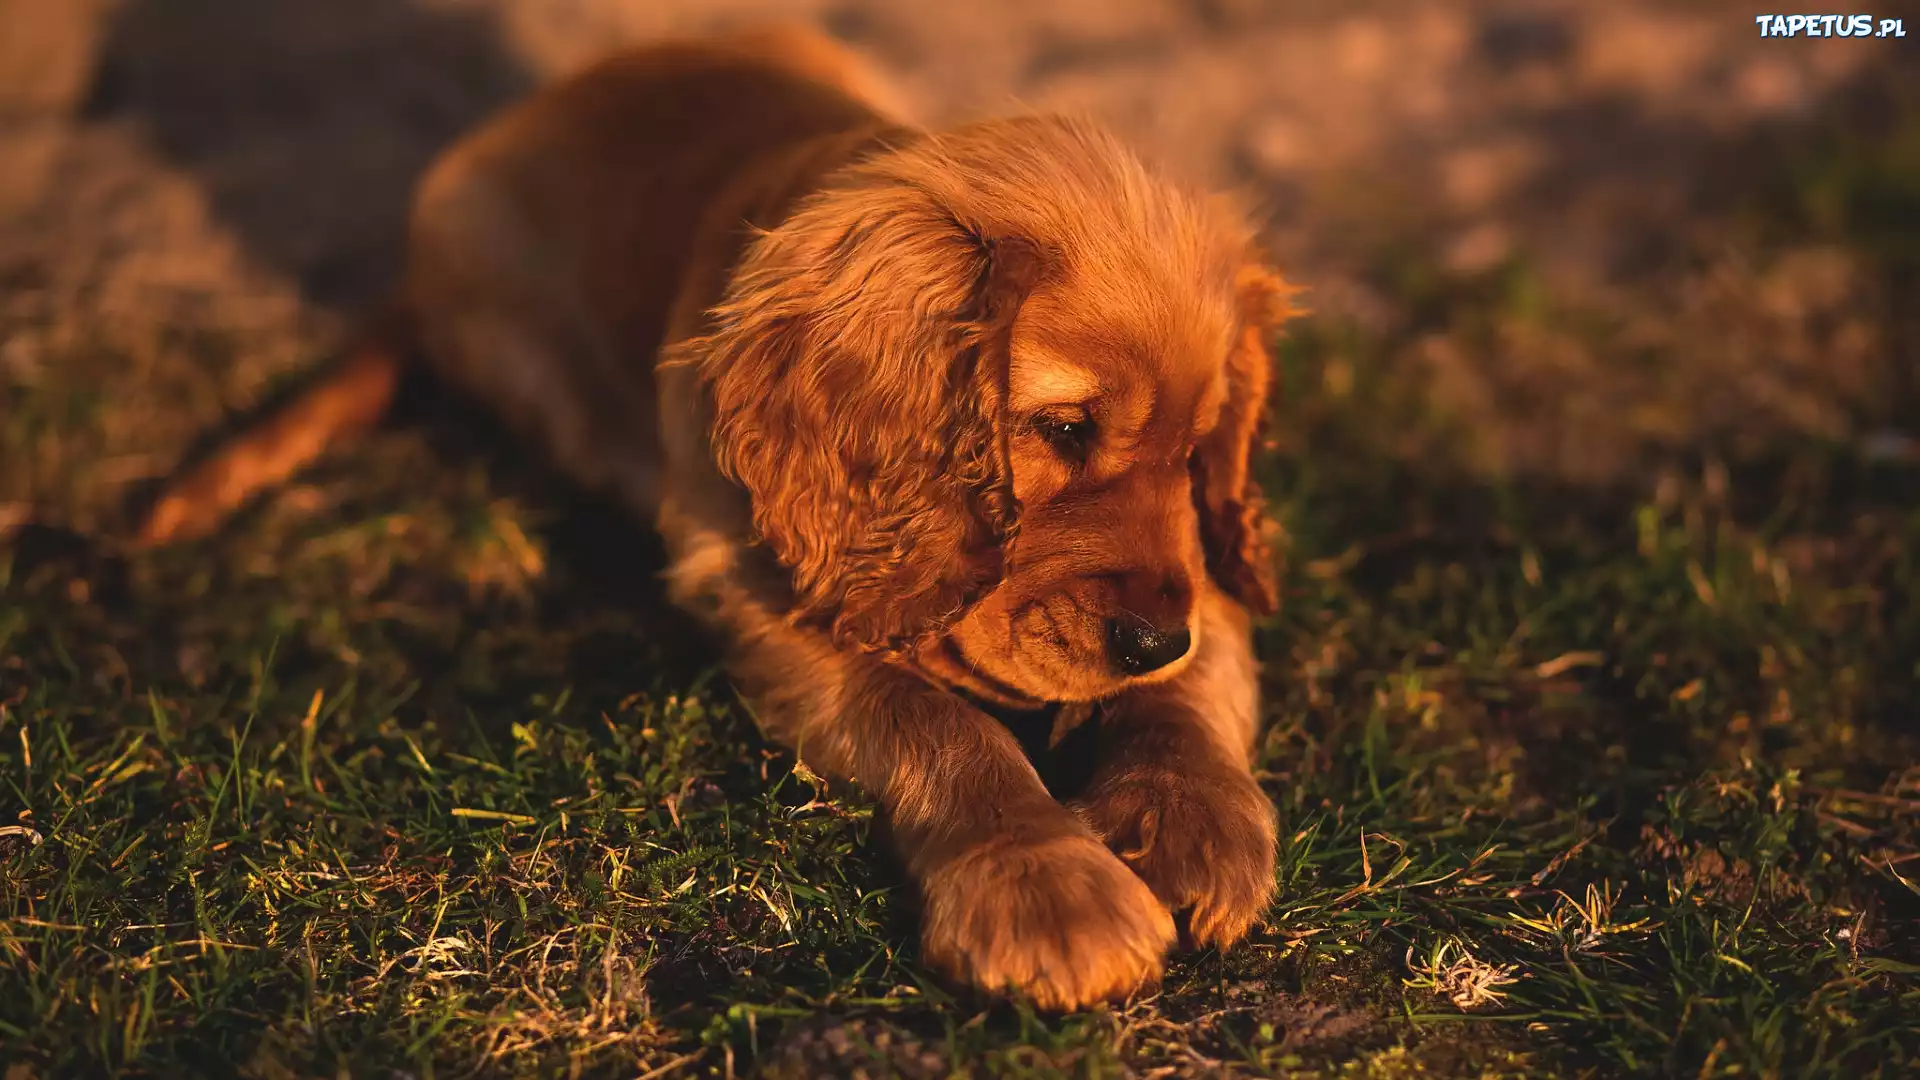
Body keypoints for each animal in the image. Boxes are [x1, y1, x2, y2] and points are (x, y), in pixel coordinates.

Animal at [142, 25, 1297, 1006]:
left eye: (1199, 451)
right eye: (1061, 429)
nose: (1147, 638)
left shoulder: (1201, 573)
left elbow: (1196, 673)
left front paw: (1190, 818)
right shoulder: (756, 588)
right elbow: (934, 718)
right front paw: (1045, 888)